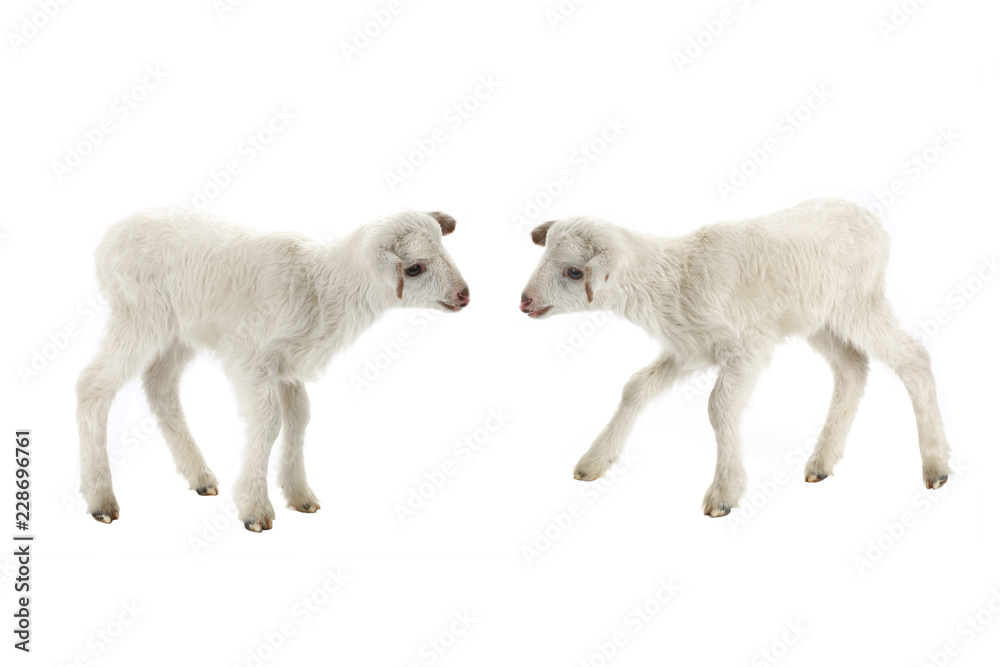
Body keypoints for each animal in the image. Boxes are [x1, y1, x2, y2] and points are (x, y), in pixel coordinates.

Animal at [77, 206, 469, 531]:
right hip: (140, 315)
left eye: (443, 249)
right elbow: (268, 421)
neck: (323, 286)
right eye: (414, 268)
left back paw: (200, 477)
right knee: (92, 384)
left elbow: (298, 417)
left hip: (179, 330)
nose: (464, 295)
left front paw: (300, 495)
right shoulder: (250, 356)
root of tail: (110, 236)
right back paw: (100, 499)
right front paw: (255, 508)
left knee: (159, 386)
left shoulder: (286, 365)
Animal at [520, 198, 951, 517]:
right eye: (543, 258)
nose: (524, 301)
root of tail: (870, 218)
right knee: (852, 369)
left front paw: (724, 491)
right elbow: (635, 387)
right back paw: (822, 462)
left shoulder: (747, 345)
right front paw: (596, 460)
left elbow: (719, 406)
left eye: (575, 272)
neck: (673, 278)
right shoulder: (689, 348)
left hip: (858, 303)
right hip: (818, 319)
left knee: (913, 357)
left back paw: (936, 465)